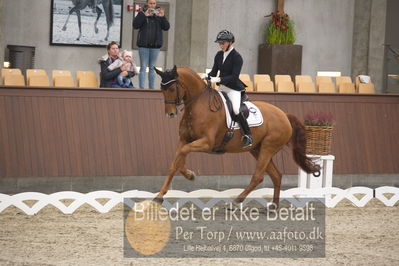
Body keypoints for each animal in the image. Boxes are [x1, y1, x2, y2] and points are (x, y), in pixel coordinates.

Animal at [155, 65, 320, 207]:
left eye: (171, 88)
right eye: (161, 89)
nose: (170, 114)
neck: (197, 106)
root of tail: (284, 115)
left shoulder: (206, 143)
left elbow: (182, 153)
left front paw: (189, 175)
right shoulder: (184, 139)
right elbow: (175, 162)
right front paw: (162, 194)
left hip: (268, 148)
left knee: (258, 176)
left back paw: (236, 201)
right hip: (257, 149)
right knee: (276, 175)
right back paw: (273, 206)